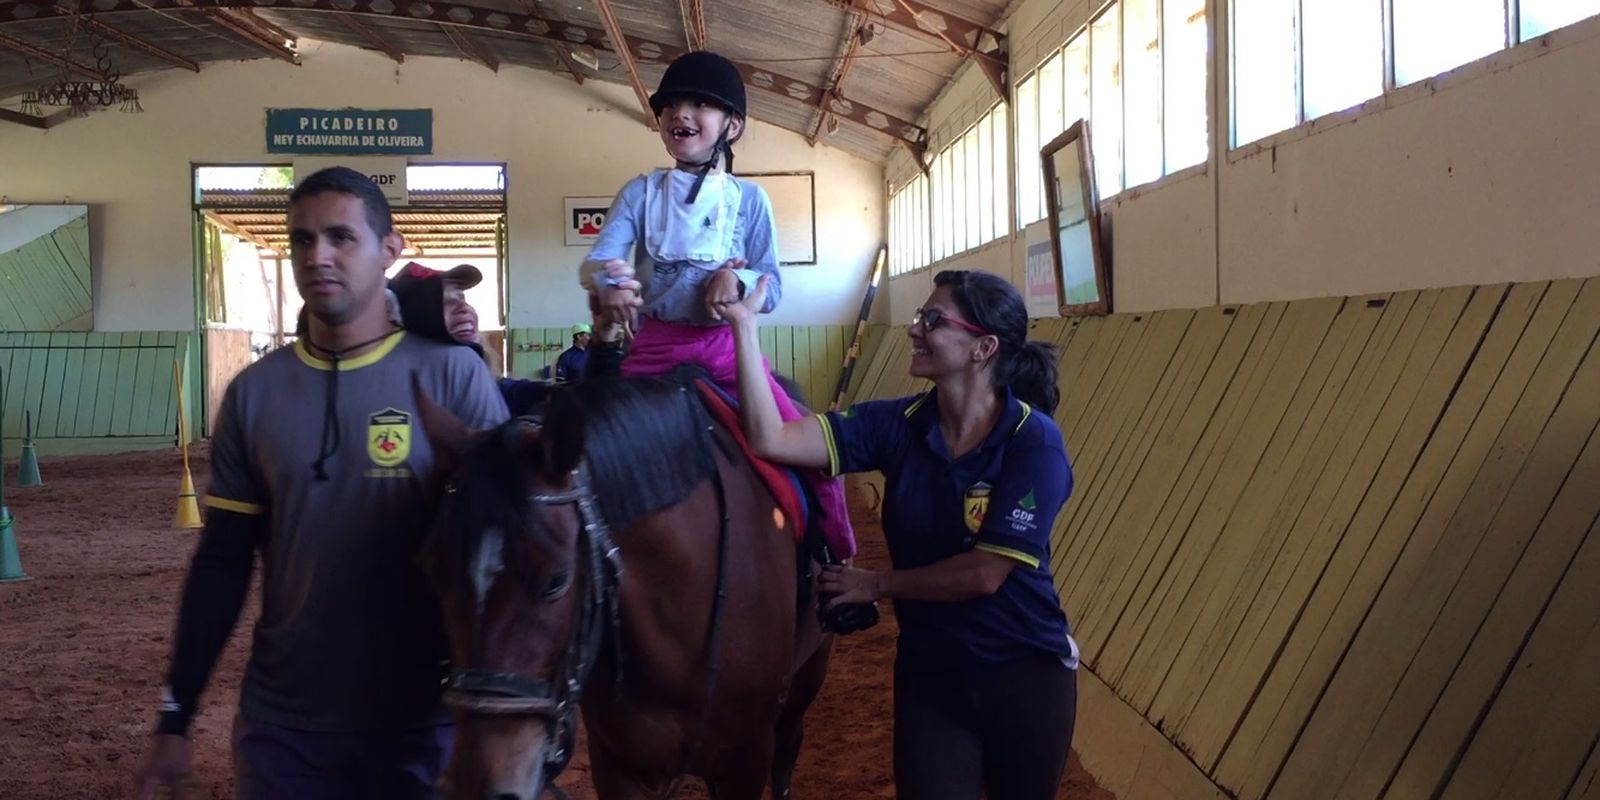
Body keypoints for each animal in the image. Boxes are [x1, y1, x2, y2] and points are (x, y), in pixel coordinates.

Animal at [412, 371, 838, 796]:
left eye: (557, 581)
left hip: (807, 676)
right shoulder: (617, 762)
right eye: (433, 572)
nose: (473, 786)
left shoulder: (746, 759)